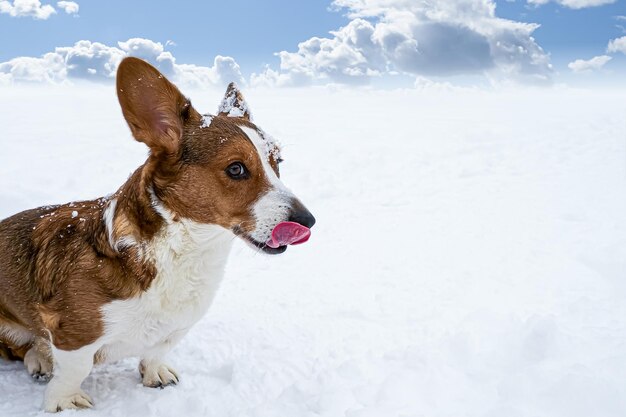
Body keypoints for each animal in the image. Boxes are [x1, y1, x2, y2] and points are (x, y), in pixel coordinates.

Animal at [0, 57, 312, 412]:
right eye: (236, 169)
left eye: (278, 162)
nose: (309, 221)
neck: (188, 252)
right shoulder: (74, 334)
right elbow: (75, 368)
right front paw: (65, 402)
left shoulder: (176, 326)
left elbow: (157, 351)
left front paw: (156, 374)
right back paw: (41, 359)